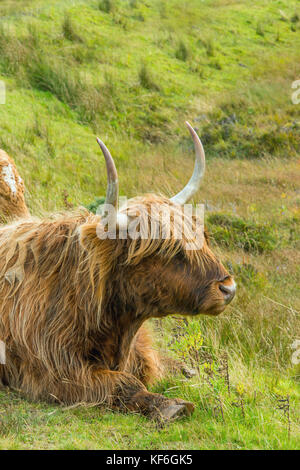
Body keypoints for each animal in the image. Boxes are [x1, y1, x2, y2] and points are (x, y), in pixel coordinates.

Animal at [0, 123, 236, 420]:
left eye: (201, 235)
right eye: (168, 249)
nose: (228, 288)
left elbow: (150, 365)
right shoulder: (51, 370)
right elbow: (123, 382)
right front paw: (172, 406)